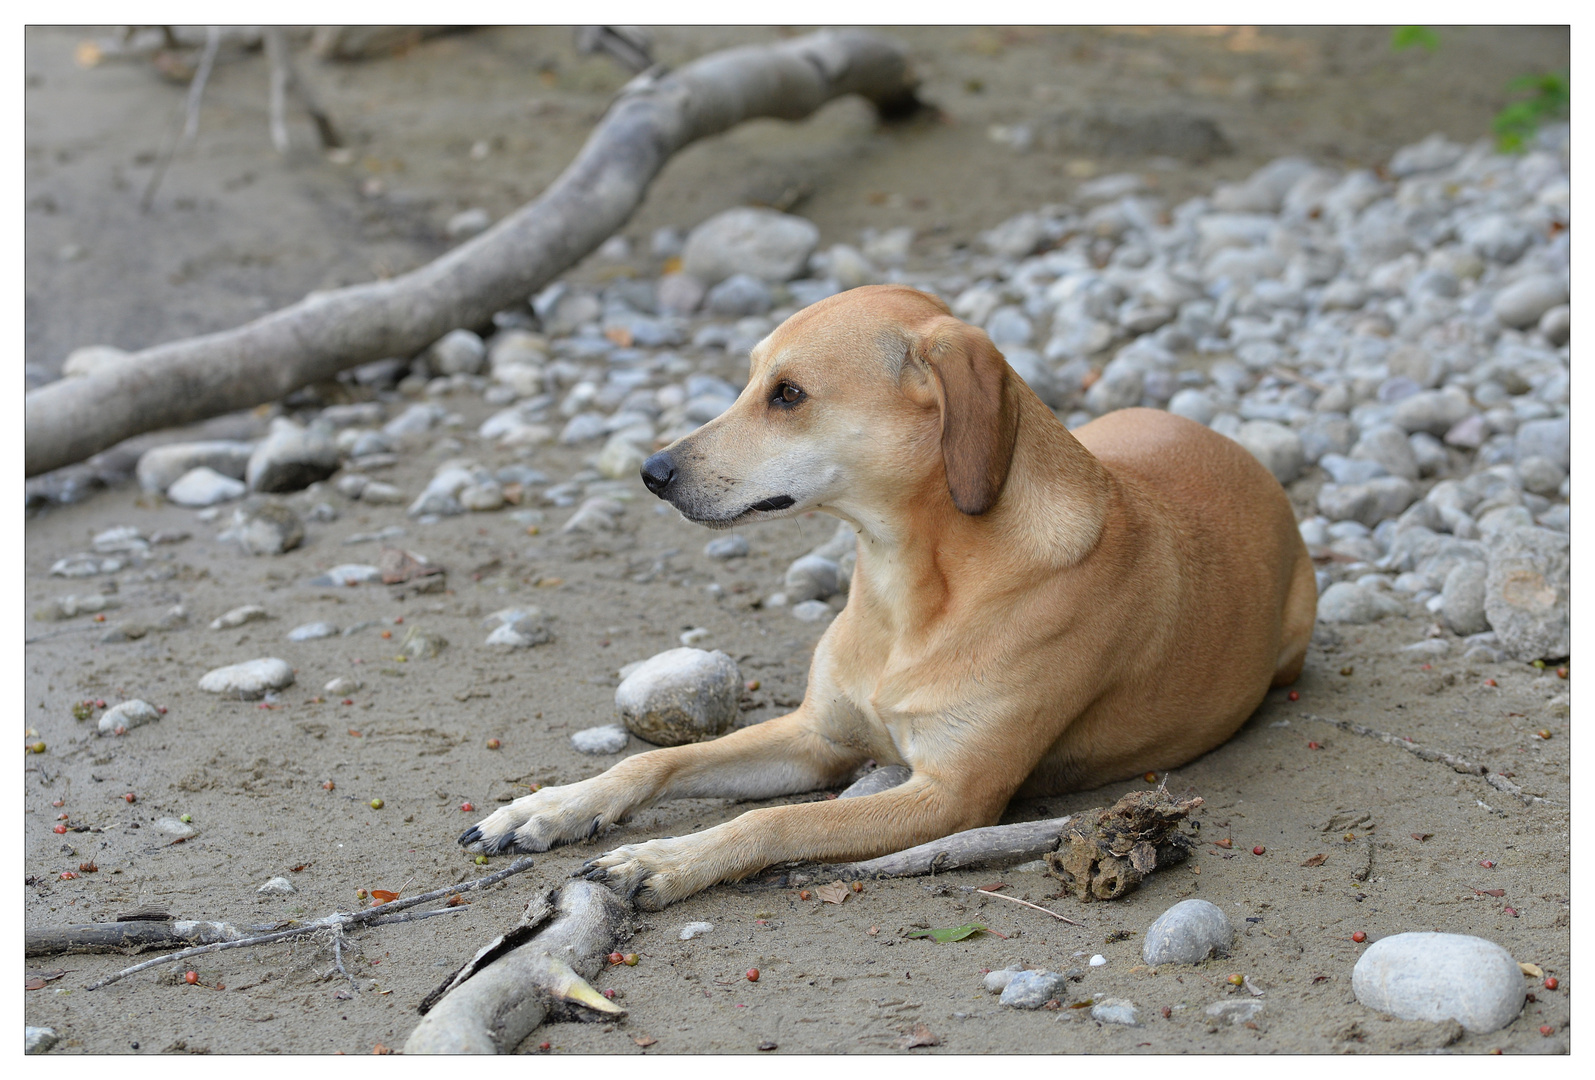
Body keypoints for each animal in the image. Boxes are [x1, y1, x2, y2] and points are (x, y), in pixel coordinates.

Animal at [456, 282, 1314, 906]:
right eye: (751, 379)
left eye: (788, 394)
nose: (652, 471)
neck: (911, 589)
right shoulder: (818, 738)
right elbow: (655, 763)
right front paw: (552, 806)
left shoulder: (947, 798)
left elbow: (768, 823)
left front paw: (662, 861)